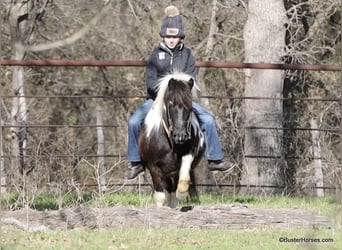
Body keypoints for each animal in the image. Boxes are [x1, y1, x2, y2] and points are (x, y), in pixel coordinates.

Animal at [139, 72, 206, 207]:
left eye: (190, 105)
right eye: (170, 104)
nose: (180, 136)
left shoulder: (187, 156)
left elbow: (185, 165)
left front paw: (182, 191)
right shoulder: (153, 166)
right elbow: (160, 196)